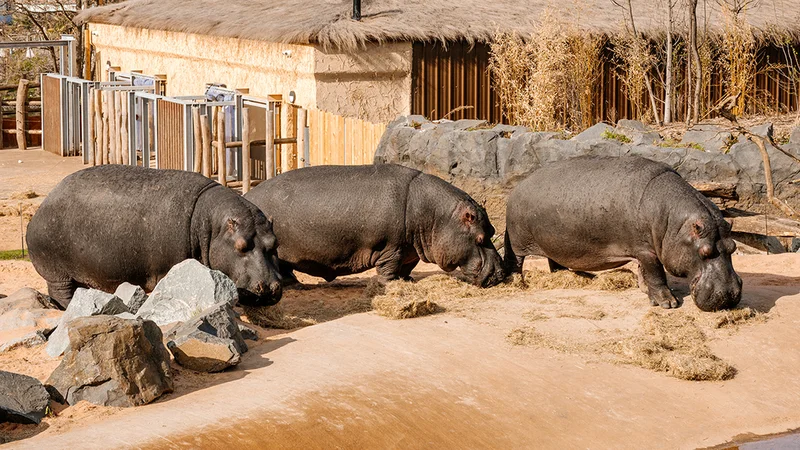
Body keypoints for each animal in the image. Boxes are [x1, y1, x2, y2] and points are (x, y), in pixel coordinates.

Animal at [27, 165, 282, 309]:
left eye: (275, 243)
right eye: (241, 246)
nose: (270, 287)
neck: (211, 226)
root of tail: (43, 204)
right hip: (57, 274)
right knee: (61, 293)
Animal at [244, 164, 505, 287]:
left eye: (492, 231)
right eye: (480, 238)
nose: (502, 273)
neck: (436, 216)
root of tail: (247, 195)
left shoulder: (410, 250)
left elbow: (407, 267)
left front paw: (408, 282)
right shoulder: (391, 247)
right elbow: (389, 268)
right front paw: (390, 284)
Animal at [504, 156, 742, 312]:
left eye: (733, 247)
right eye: (704, 252)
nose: (729, 296)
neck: (674, 223)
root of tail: (517, 187)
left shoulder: (644, 251)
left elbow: (644, 272)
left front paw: (644, 290)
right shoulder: (646, 251)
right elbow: (656, 274)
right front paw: (668, 303)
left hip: (555, 242)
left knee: (555, 261)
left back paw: (574, 276)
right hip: (518, 242)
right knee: (517, 261)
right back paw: (517, 282)